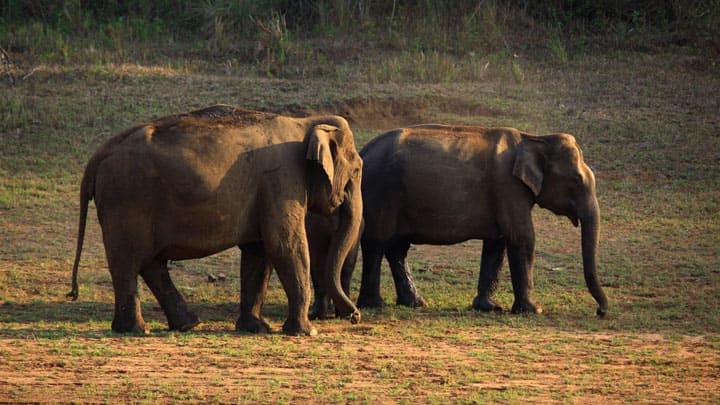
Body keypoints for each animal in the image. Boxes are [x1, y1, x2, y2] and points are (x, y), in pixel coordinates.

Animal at [68, 105, 363, 336]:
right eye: (358, 169)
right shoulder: (283, 181)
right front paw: (306, 332)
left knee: (149, 262)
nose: (355, 316)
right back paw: (138, 329)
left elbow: (258, 252)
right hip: (126, 198)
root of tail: (99, 155)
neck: (306, 122)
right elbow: (284, 245)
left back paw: (186, 325)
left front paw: (256, 328)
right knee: (128, 262)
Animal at [356, 124, 608, 317]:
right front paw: (534, 310)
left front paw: (490, 308)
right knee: (376, 243)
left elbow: (497, 244)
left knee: (397, 248)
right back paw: (375, 305)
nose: (600, 311)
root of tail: (363, 151)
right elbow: (523, 237)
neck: (533, 139)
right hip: (380, 192)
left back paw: (415, 303)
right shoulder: (509, 188)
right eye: (576, 180)